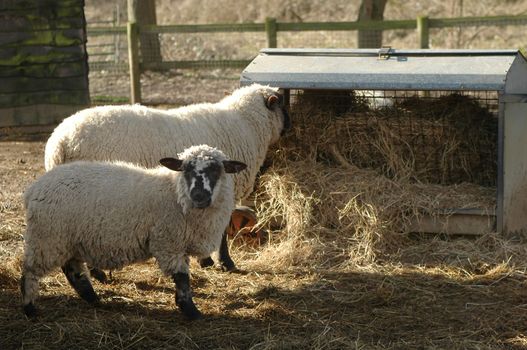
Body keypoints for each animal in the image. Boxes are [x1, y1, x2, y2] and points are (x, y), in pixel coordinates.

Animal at [21, 143, 249, 320]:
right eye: (186, 169)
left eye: (216, 170)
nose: (199, 196)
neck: (175, 192)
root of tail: (34, 189)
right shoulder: (168, 243)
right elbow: (182, 279)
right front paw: (191, 312)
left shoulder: (178, 243)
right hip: (47, 237)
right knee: (31, 271)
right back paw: (29, 308)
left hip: (68, 238)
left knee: (73, 270)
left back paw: (94, 299)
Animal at [44, 83, 292, 272]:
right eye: (282, 103)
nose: (291, 127)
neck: (246, 124)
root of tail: (61, 141)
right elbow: (220, 232)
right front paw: (223, 262)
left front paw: (206, 261)